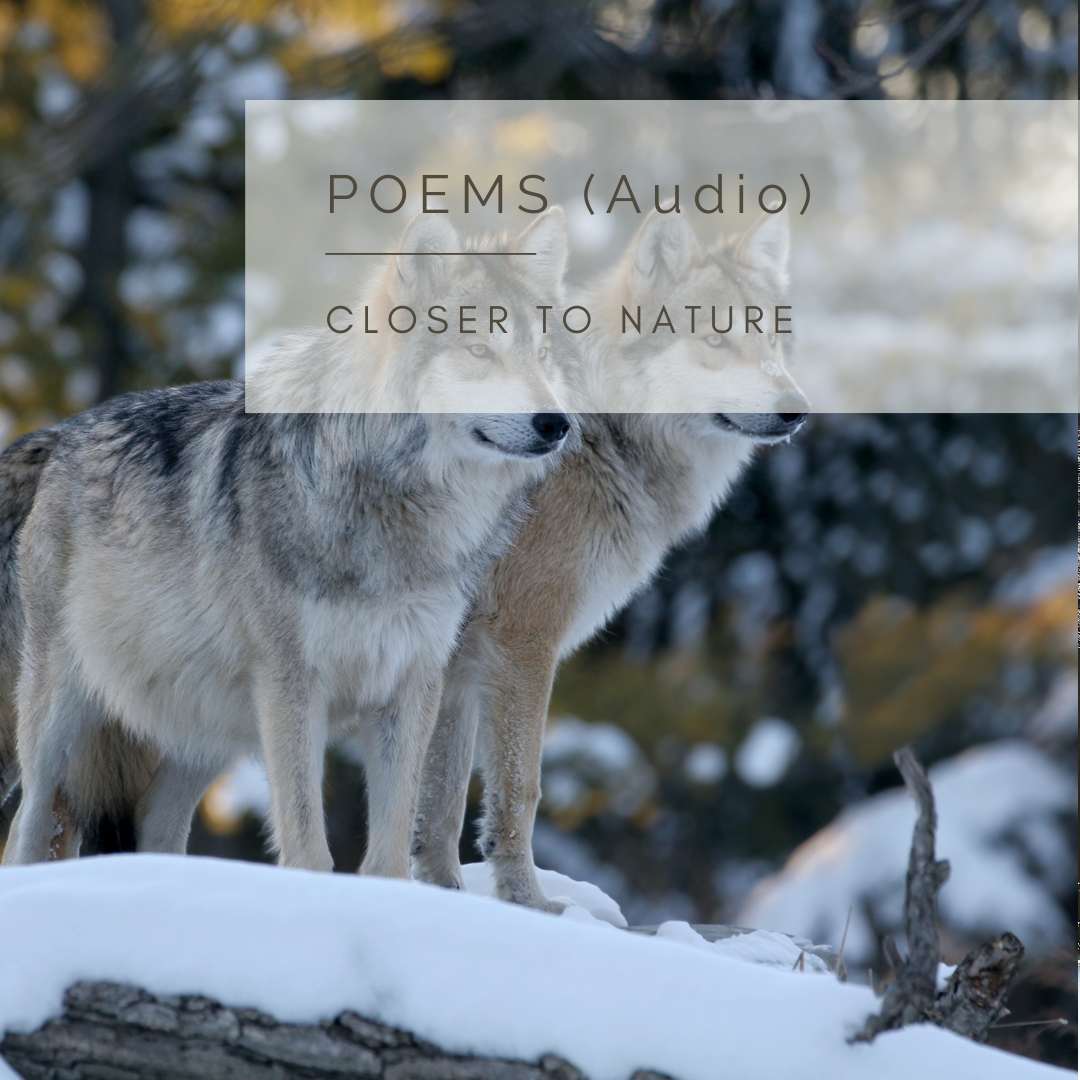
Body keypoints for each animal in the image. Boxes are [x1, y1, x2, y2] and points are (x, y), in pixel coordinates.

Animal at [0, 209, 573, 872]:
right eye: (479, 349)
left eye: (542, 355)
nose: (557, 423)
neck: (398, 511)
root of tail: (60, 435)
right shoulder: (293, 685)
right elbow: (308, 848)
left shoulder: (410, 686)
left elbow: (389, 852)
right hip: (59, 722)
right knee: (27, 828)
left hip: (204, 736)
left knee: (156, 829)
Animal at [410, 210, 809, 911]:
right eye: (716, 339)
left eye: (772, 340)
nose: (797, 411)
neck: (606, 436)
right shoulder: (523, 644)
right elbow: (521, 791)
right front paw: (530, 904)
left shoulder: (457, 667)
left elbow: (440, 807)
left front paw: (447, 898)